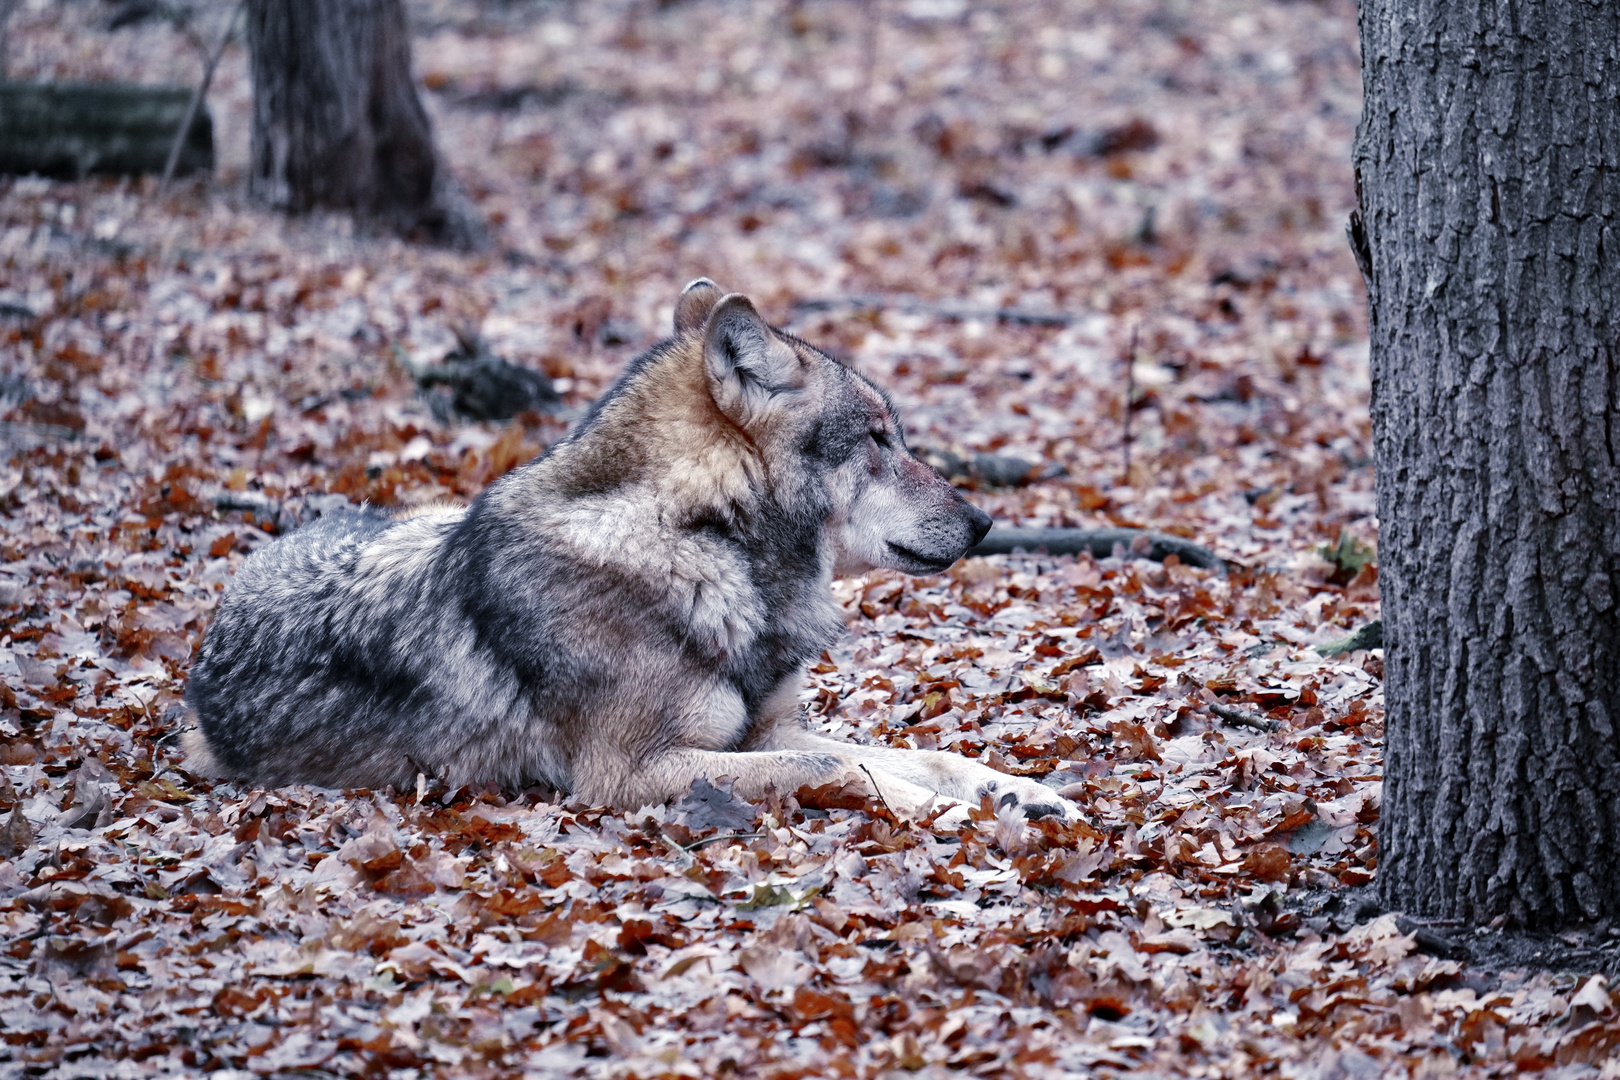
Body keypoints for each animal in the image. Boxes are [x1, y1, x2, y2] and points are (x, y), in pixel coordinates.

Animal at [180, 283, 1075, 822]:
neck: (701, 544)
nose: (984, 522)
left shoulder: (758, 732)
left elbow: (928, 752)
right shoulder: (630, 774)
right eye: (880, 439)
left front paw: (1018, 793)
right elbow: (836, 772)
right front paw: (945, 811)